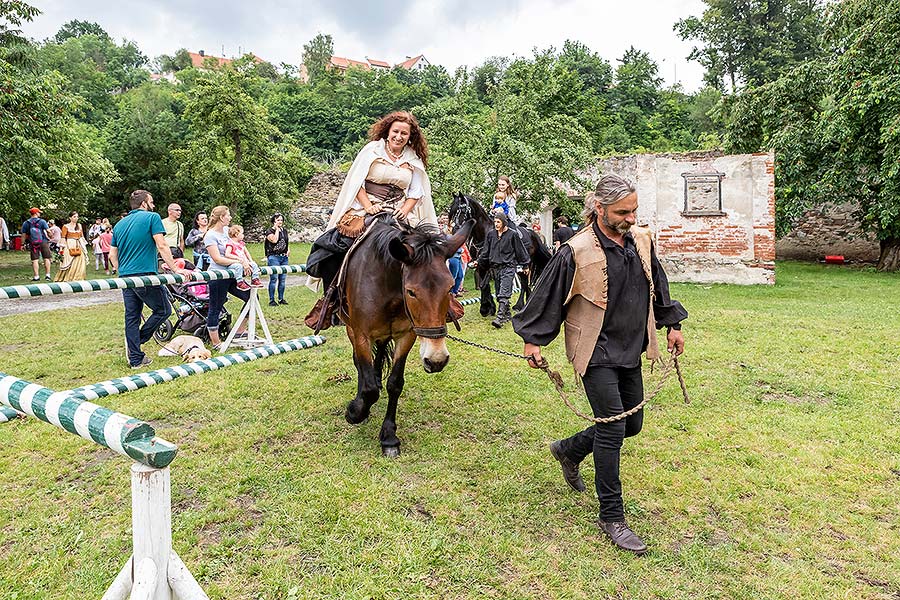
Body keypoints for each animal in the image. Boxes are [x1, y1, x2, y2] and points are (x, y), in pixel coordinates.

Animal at [342, 218, 474, 458]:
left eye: (450, 287)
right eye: (411, 292)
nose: (437, 360)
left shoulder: (406, 336)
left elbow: (395, 383)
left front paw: (389, 437)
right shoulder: (361, 334)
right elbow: (368, 388)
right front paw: (355, 411)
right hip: (349, 328)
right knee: (360, 365)